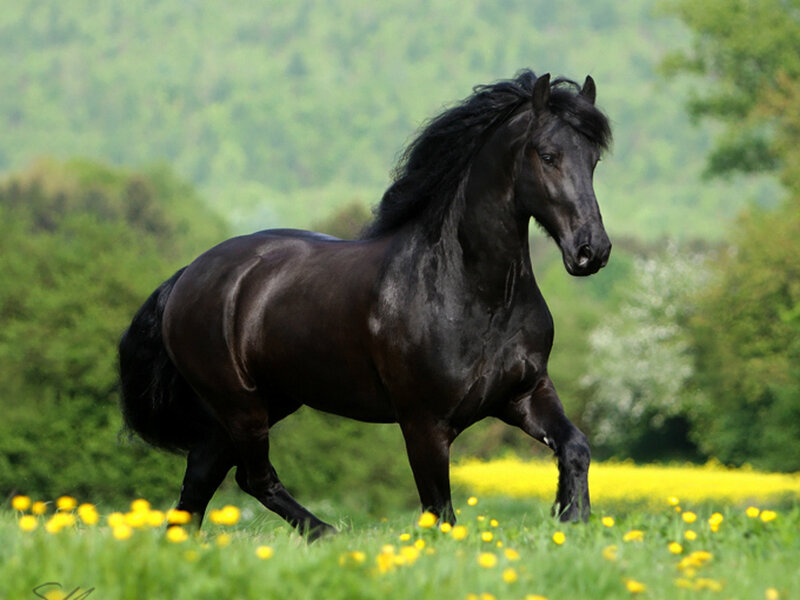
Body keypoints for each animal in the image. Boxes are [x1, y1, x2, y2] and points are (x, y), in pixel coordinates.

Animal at [119, 70, 612, 540]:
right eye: (547, 155)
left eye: (593, 159)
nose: (592, 251)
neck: (477, 296)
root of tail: (186, 276)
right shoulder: (424, 423)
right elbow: (440, 513)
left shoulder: (524, 393)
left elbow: (576, 447)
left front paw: (571, 520)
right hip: (240, 405)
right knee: (252, 477)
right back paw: (327, 534)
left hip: (268, 401)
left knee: (201, 477)